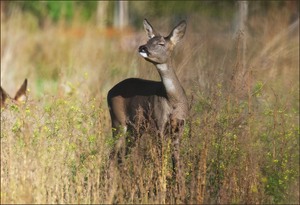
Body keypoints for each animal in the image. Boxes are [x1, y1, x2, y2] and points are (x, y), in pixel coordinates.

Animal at [107, 18, 188, 202]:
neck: (172, 100)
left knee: (122, 156)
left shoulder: (179, 127)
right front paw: (162, 190)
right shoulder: (159, 123)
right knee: (113, 155)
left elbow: (177, 161)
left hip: (136, 129)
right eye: (148, 40)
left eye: (161, 43)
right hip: (118, 121)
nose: (142, 47)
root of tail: (109, 91)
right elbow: (161, 160)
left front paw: (181, 193)